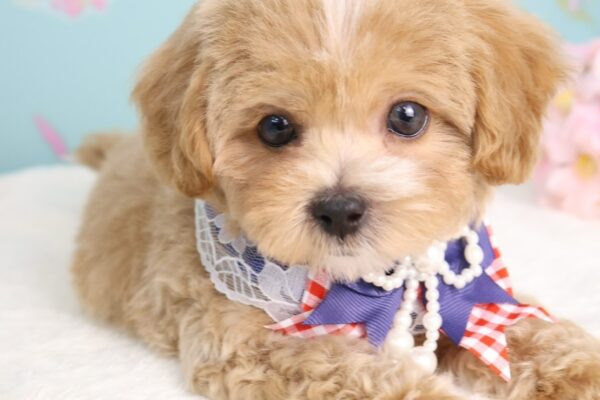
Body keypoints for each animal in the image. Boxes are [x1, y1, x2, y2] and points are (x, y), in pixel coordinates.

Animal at [72, 0, 600, 398]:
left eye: (407, 116)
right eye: (275, 127)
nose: (340, 209)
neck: (368, 283)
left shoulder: (470, 296)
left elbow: (512, 323)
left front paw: (580, 370)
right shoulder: (251, 345)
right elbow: (356, 374)